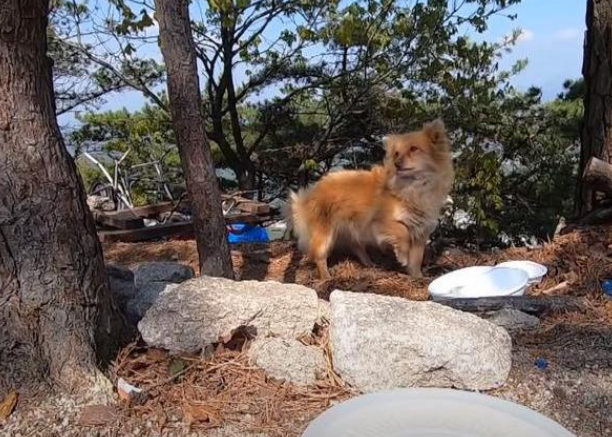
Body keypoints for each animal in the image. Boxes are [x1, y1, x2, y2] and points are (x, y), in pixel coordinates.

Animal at [284, 119, 452, 280]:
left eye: (414, 149)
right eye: (396, 154)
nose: (396, 163)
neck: (413, 187)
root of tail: (310, 192)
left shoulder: (420, 233)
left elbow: (417, 259)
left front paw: (417, 276)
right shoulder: (381, 222)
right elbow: (402, 231)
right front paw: (403, 256)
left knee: (356, 247)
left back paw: (369, 263)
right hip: (325, 235)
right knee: (320, 257)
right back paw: (326, 277)